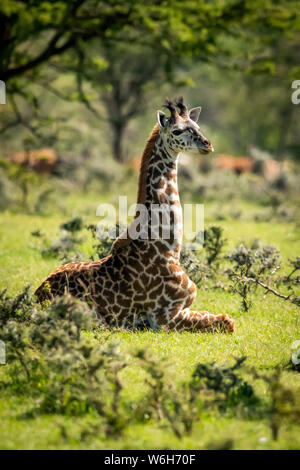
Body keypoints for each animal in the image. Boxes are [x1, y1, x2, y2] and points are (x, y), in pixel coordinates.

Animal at [35, 98, 234, 334]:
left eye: (197, 127)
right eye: (177, 131)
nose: (207, 144)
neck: (169, 250)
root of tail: (36, 296)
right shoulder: (166, 318)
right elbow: (228, 322)